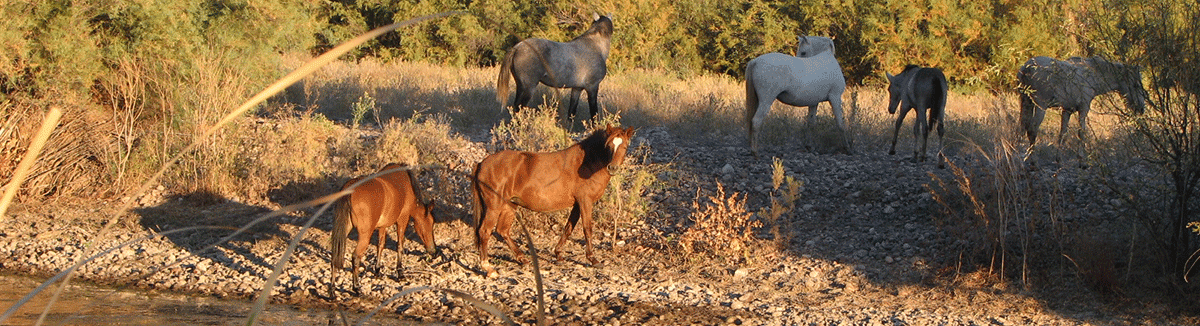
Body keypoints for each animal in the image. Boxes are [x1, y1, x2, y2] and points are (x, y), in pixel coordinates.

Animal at [328, 163, 436, 292]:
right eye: (430, 223)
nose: (433, 250)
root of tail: (350, 188)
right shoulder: (402, 220)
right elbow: (400, 245)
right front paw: (400, 273)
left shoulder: (382, 226)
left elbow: (380, 245)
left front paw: (378, 271)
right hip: (365, 235)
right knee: (355, 257)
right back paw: (356, 287)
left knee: (335, 256)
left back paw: (332, 291)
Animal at [470, 124, 638, 278]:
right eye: (609, 145)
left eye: (625, 146)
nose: (612, 168)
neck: (588, 162)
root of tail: (481, 164)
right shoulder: (585, 201)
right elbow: (587, 229)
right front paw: (593, 260)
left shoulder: (577, 204)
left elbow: (568, 228)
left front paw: (558, 254)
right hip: (494, 206)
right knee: (484, 231)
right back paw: (489, 268)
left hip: (509, 205)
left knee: (502, 230)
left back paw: (522, 258)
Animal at [1017, 56, 1147, 160]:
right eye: (1136, 85)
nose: (1141, 108)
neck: (1092, 75)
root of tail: (1026, 68)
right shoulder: (1084, 108)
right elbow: (1081, 132)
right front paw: (1081, 158)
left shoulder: (1067, 110)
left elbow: (1063, 133)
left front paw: (1058, 158)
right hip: (1040, 106)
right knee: (1032, 129)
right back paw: (1032, 159)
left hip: (1026, 102)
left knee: (1022, 127)